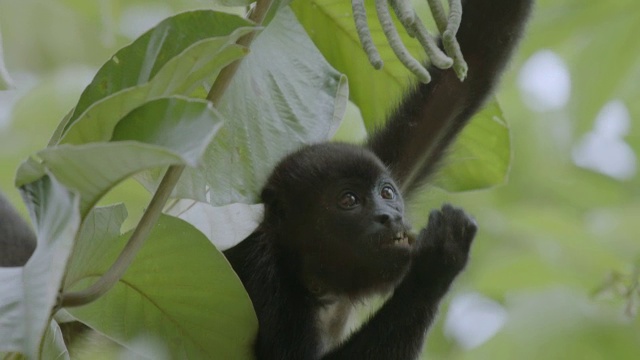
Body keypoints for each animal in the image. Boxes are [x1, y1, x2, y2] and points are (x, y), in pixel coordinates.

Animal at [222, 0, 532, 360]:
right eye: (349, 200)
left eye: (386, 193)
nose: (389, 216)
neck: (320, 285)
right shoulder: (268, 286)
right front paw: (437, 262)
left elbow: (467, 72)